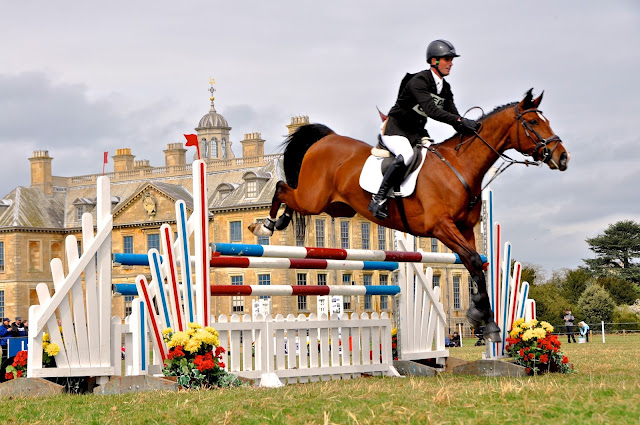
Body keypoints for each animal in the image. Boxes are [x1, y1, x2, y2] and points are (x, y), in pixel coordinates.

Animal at [248, 89, 569, 341]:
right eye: (531, 122)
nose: (562, 157)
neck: (460, 167)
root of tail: (325, 140)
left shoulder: (465, 229)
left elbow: (474, 266)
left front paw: (483, 318)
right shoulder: (441, 227)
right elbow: (475, 261)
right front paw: (483, 318)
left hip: (334, 206)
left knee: (290, 194)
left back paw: (279, 222)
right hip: (313, 199)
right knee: (281, 187)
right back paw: (265, 225)